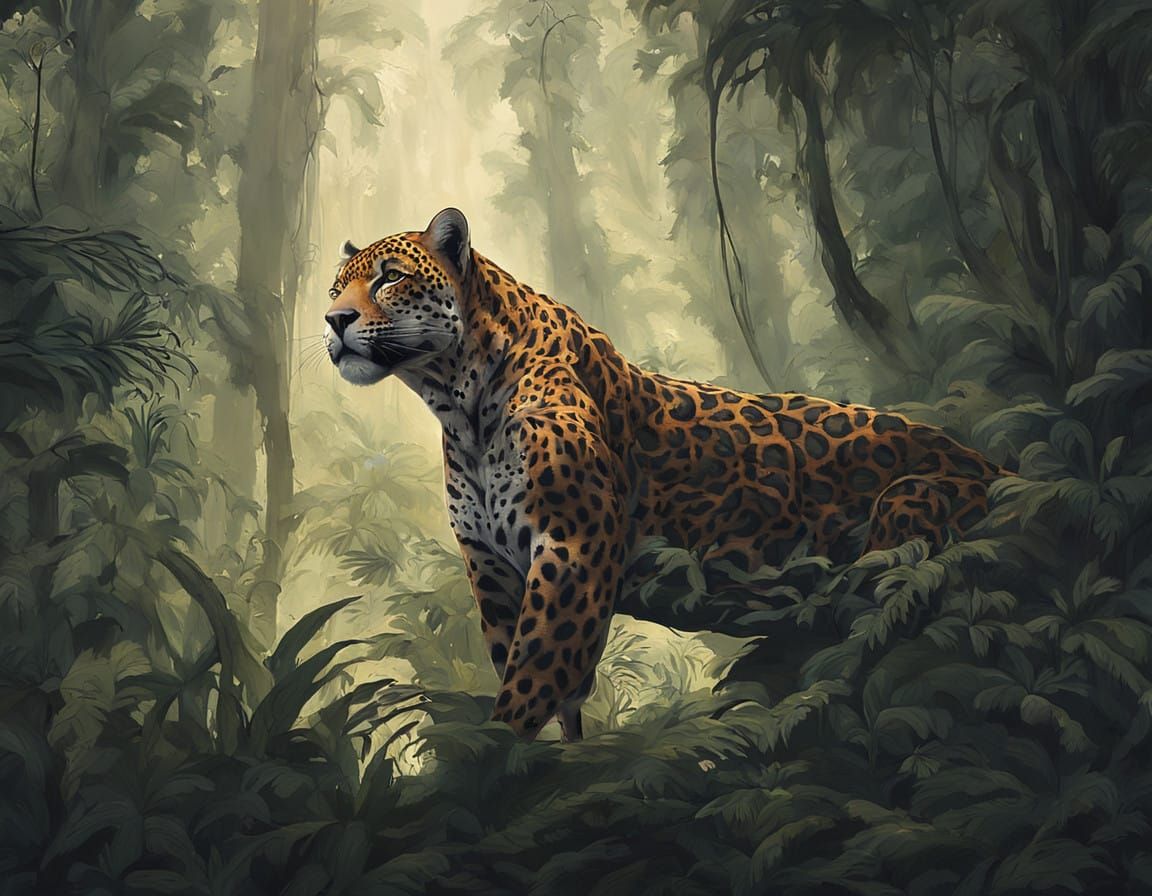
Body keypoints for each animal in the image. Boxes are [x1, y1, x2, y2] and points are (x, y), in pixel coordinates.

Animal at [324, 208, 1004, 742]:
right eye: (335, 288)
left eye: (390, 278)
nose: (333, 321)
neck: (459, 405)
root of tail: (994, 464)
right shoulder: (490, 565)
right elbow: (536, 672)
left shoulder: (574, 547)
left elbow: (533, 673)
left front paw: (492, 760)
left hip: (906, 511)